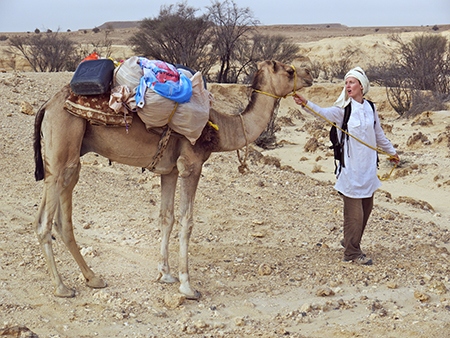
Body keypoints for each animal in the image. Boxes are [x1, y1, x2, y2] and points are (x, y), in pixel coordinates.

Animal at [33, 60, 312, 298]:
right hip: (63, 145)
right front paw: (187, 286)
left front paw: (165, 274)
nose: (309, 74)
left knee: (63, 218)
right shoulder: (191, 165)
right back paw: (61, 287)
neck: (220, 128)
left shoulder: (170, 171)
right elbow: (187, 221)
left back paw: (93, 278)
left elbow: (166, 218)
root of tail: (47, 105)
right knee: (44, 222)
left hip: (70, 156)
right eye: (289, 71)